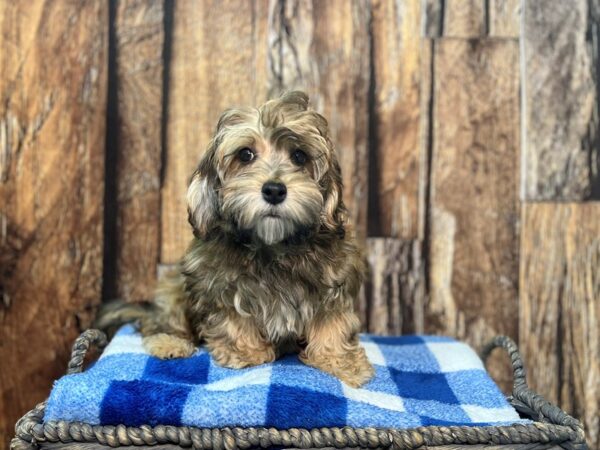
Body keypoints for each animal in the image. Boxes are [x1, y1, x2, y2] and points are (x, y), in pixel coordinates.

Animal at [97, 90, 376, 386]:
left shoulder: (334, 281)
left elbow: (332, 322)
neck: (273, 246)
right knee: (158, 321)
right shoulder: (218, 282)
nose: (274, 190)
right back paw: (169, 342)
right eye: (245, 154)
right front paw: (246, 352)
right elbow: (233, 316)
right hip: (173, 290)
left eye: (300, 156)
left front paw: (341, 361)